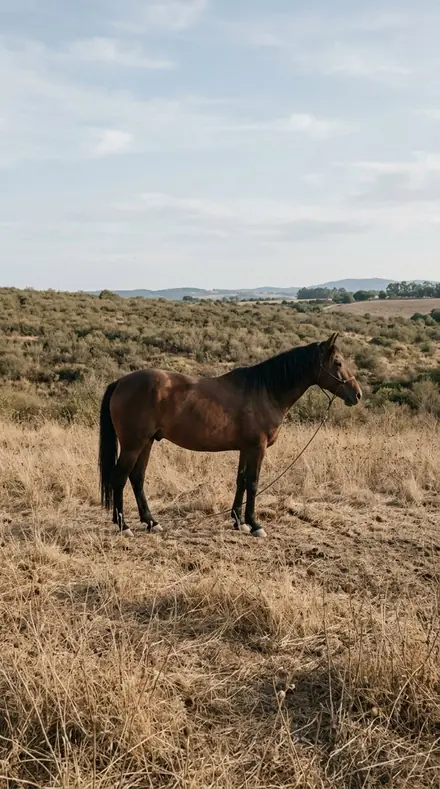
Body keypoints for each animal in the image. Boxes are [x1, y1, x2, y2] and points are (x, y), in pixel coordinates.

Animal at [98, 332, 362, 538]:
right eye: (337, 362)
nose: (357, 394)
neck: (265, 391)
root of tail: (121, 382)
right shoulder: (257, 448)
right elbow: (253, 483)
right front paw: (255, 525)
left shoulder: (246, 448)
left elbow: (241, 481)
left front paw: (239, 521)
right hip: (133, 444)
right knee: (119, 478)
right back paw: (124, 526)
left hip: (147, 442)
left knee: (137, 477)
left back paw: (151, 522)